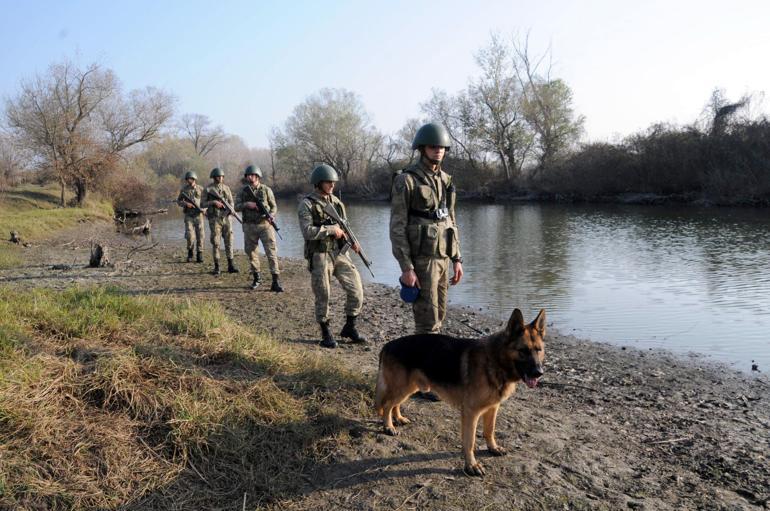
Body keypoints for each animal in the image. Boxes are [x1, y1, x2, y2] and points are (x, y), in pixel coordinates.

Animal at [374, 308, 544, 476]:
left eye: (539, 350)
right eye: (523, 351)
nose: (539, 373)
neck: (495, 361)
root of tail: (388, 344)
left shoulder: (492, 408)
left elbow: (490, 430)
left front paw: (493, 448)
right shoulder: (471, 412)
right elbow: (470, 442)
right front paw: (472, 465)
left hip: (408, 388)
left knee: (395, 404)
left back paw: (398, 418)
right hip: (402, 388)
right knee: (387, 405)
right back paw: (388, 426)